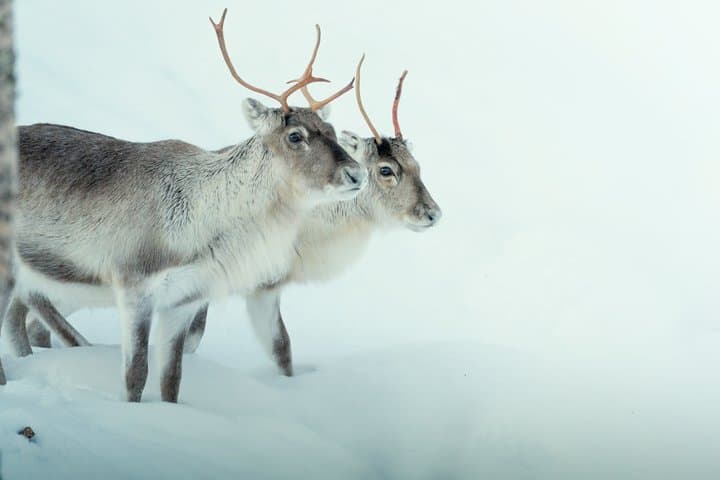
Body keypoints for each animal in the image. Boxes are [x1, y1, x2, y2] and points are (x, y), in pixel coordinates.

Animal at [0, 9, 366, 402]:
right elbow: (135, 374)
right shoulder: (133, 284)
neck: (202, 227)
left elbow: (171, 380)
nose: (357, 173)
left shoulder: (184, 301)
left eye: (332, 130)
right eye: (295, 135)